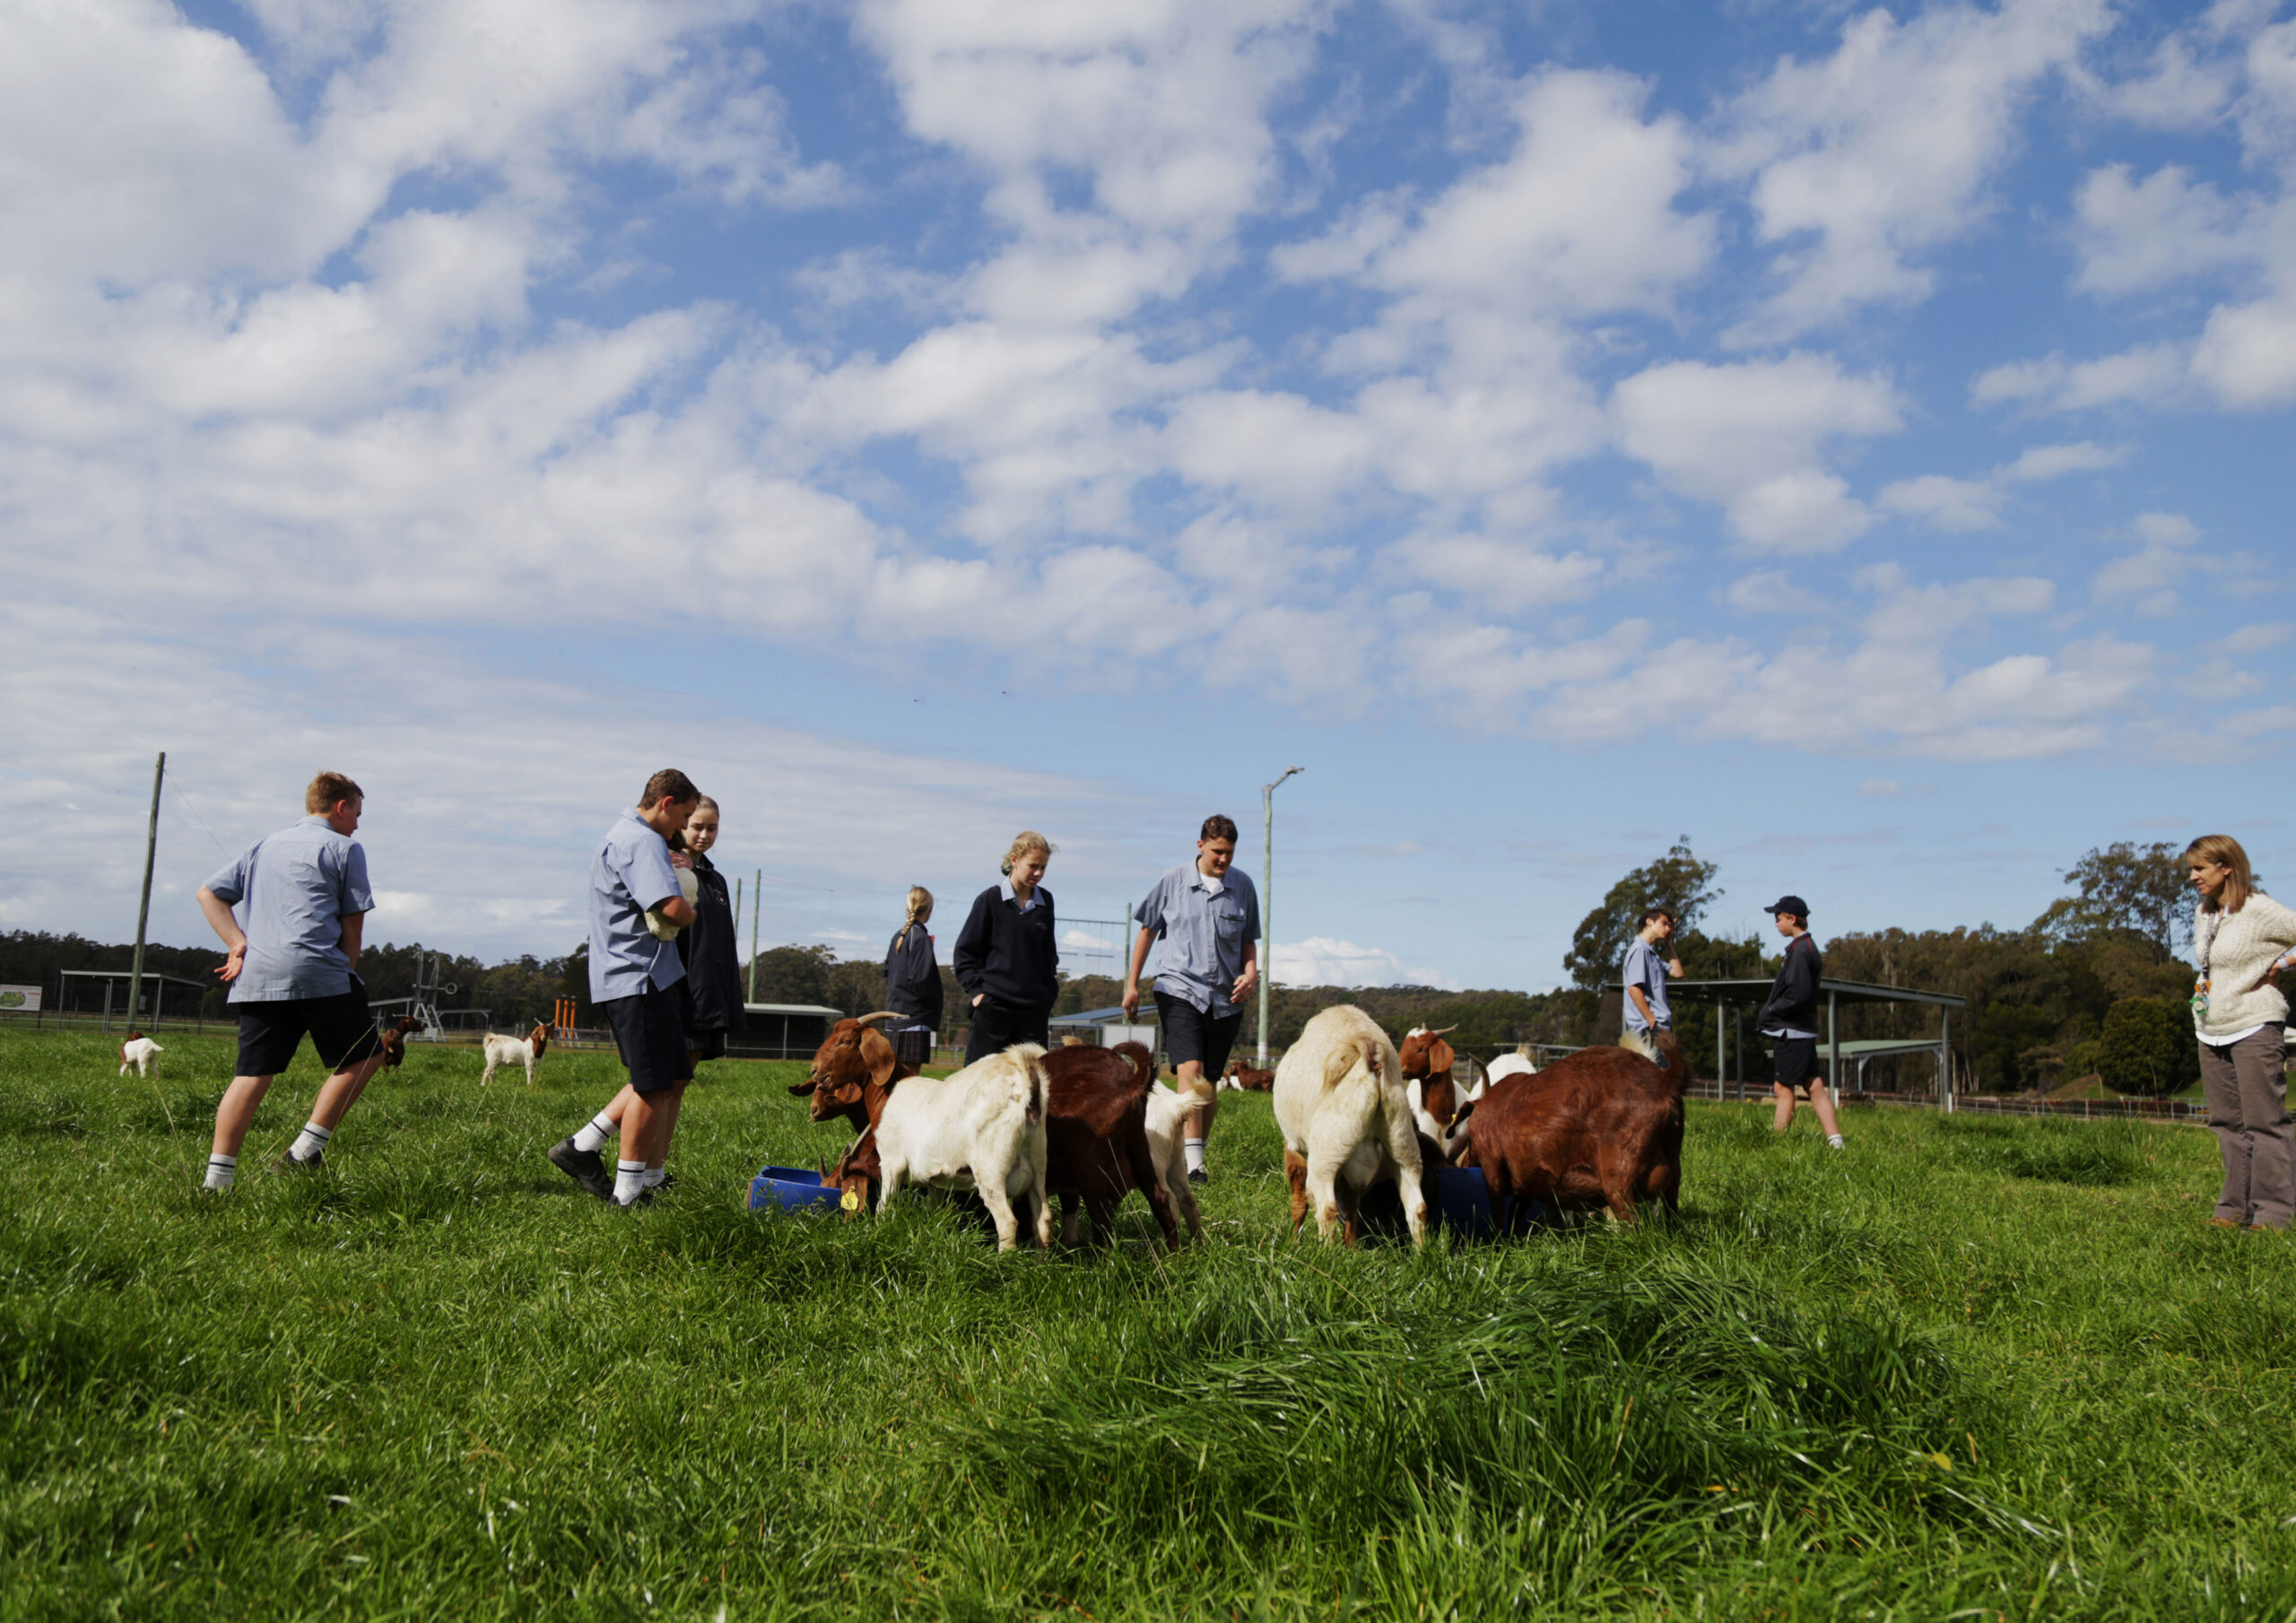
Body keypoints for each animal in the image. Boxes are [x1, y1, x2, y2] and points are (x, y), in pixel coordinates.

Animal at [876, 1042, 1056, 1257]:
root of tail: (1024, 1081)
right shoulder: (934, 1179)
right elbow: (933, 1207)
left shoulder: (891, 1161)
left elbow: (884, 1205)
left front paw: (880, 1232)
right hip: (1038, 1161)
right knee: (1043, 1218)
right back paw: (1041, 1261)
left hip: (991, 1168)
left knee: (1007, 1221)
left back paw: (1002, 1261)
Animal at [1267, 1010, 1423, 1248]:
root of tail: (1368, 1045)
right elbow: (1351, 1205)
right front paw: (1351, 1247)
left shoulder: (1293, 1145)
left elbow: (1299, 1200)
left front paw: (1291, 1241)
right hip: (1404, 1147)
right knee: (1417, 1208)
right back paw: (1422, 1252)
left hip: (1326, 1155)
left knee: (1327, 1207)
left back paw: (1324, 1253)